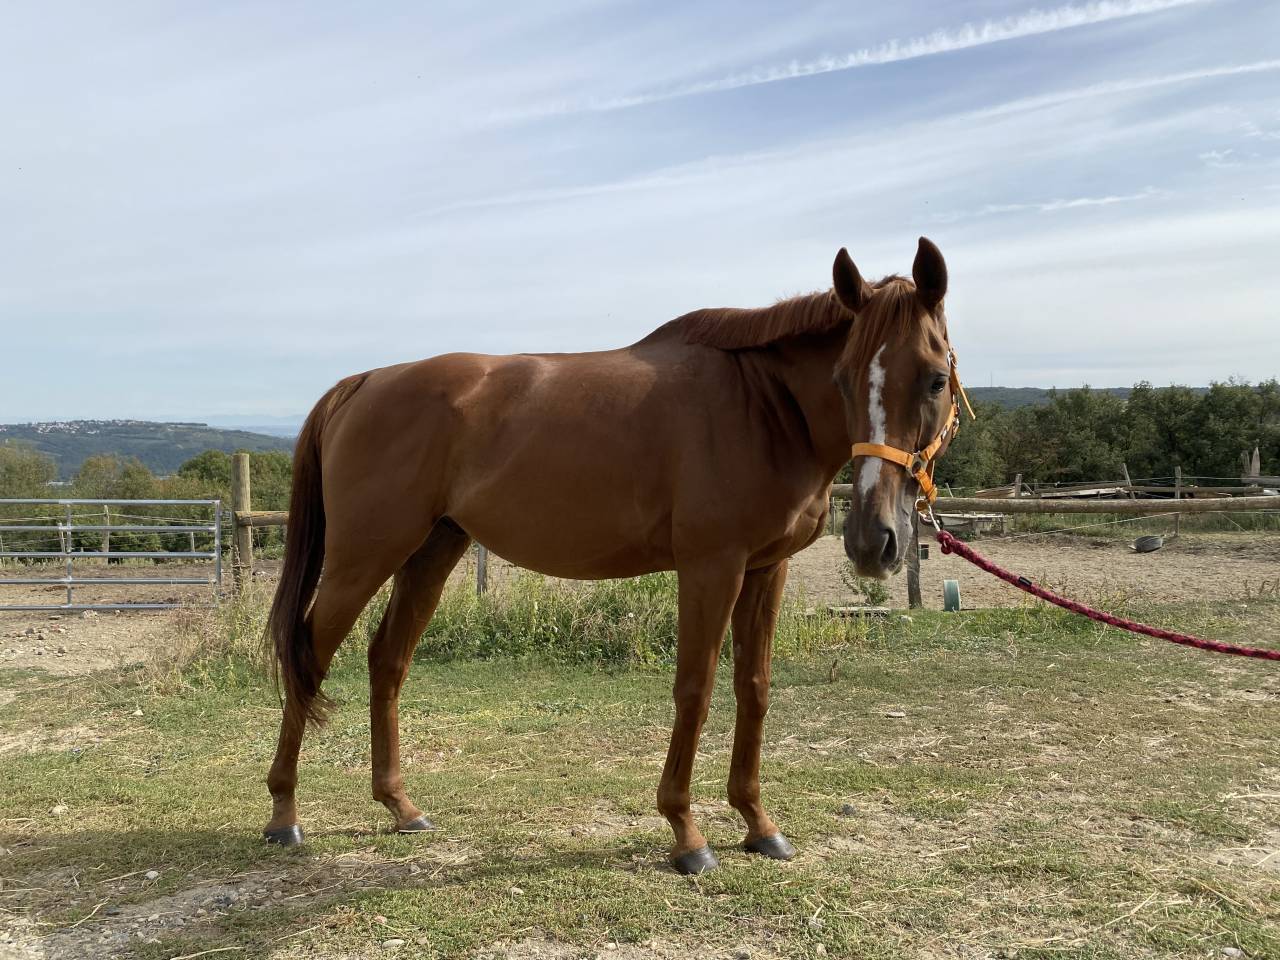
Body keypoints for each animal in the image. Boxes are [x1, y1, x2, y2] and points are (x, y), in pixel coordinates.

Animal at [264, 237, 964, 874]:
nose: (873, 542)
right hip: (361, 560)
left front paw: (758, 824)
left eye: (934, 380)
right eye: (843, 379)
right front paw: (686, 834)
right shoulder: (712, 566)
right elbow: (696, 688)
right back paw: (283, 814)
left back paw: (400, 806)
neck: (761, 407)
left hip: (433, 552)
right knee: (308, 657)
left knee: (387, 660)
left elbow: (755, 687)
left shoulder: (768, 567)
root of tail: (363, 384)